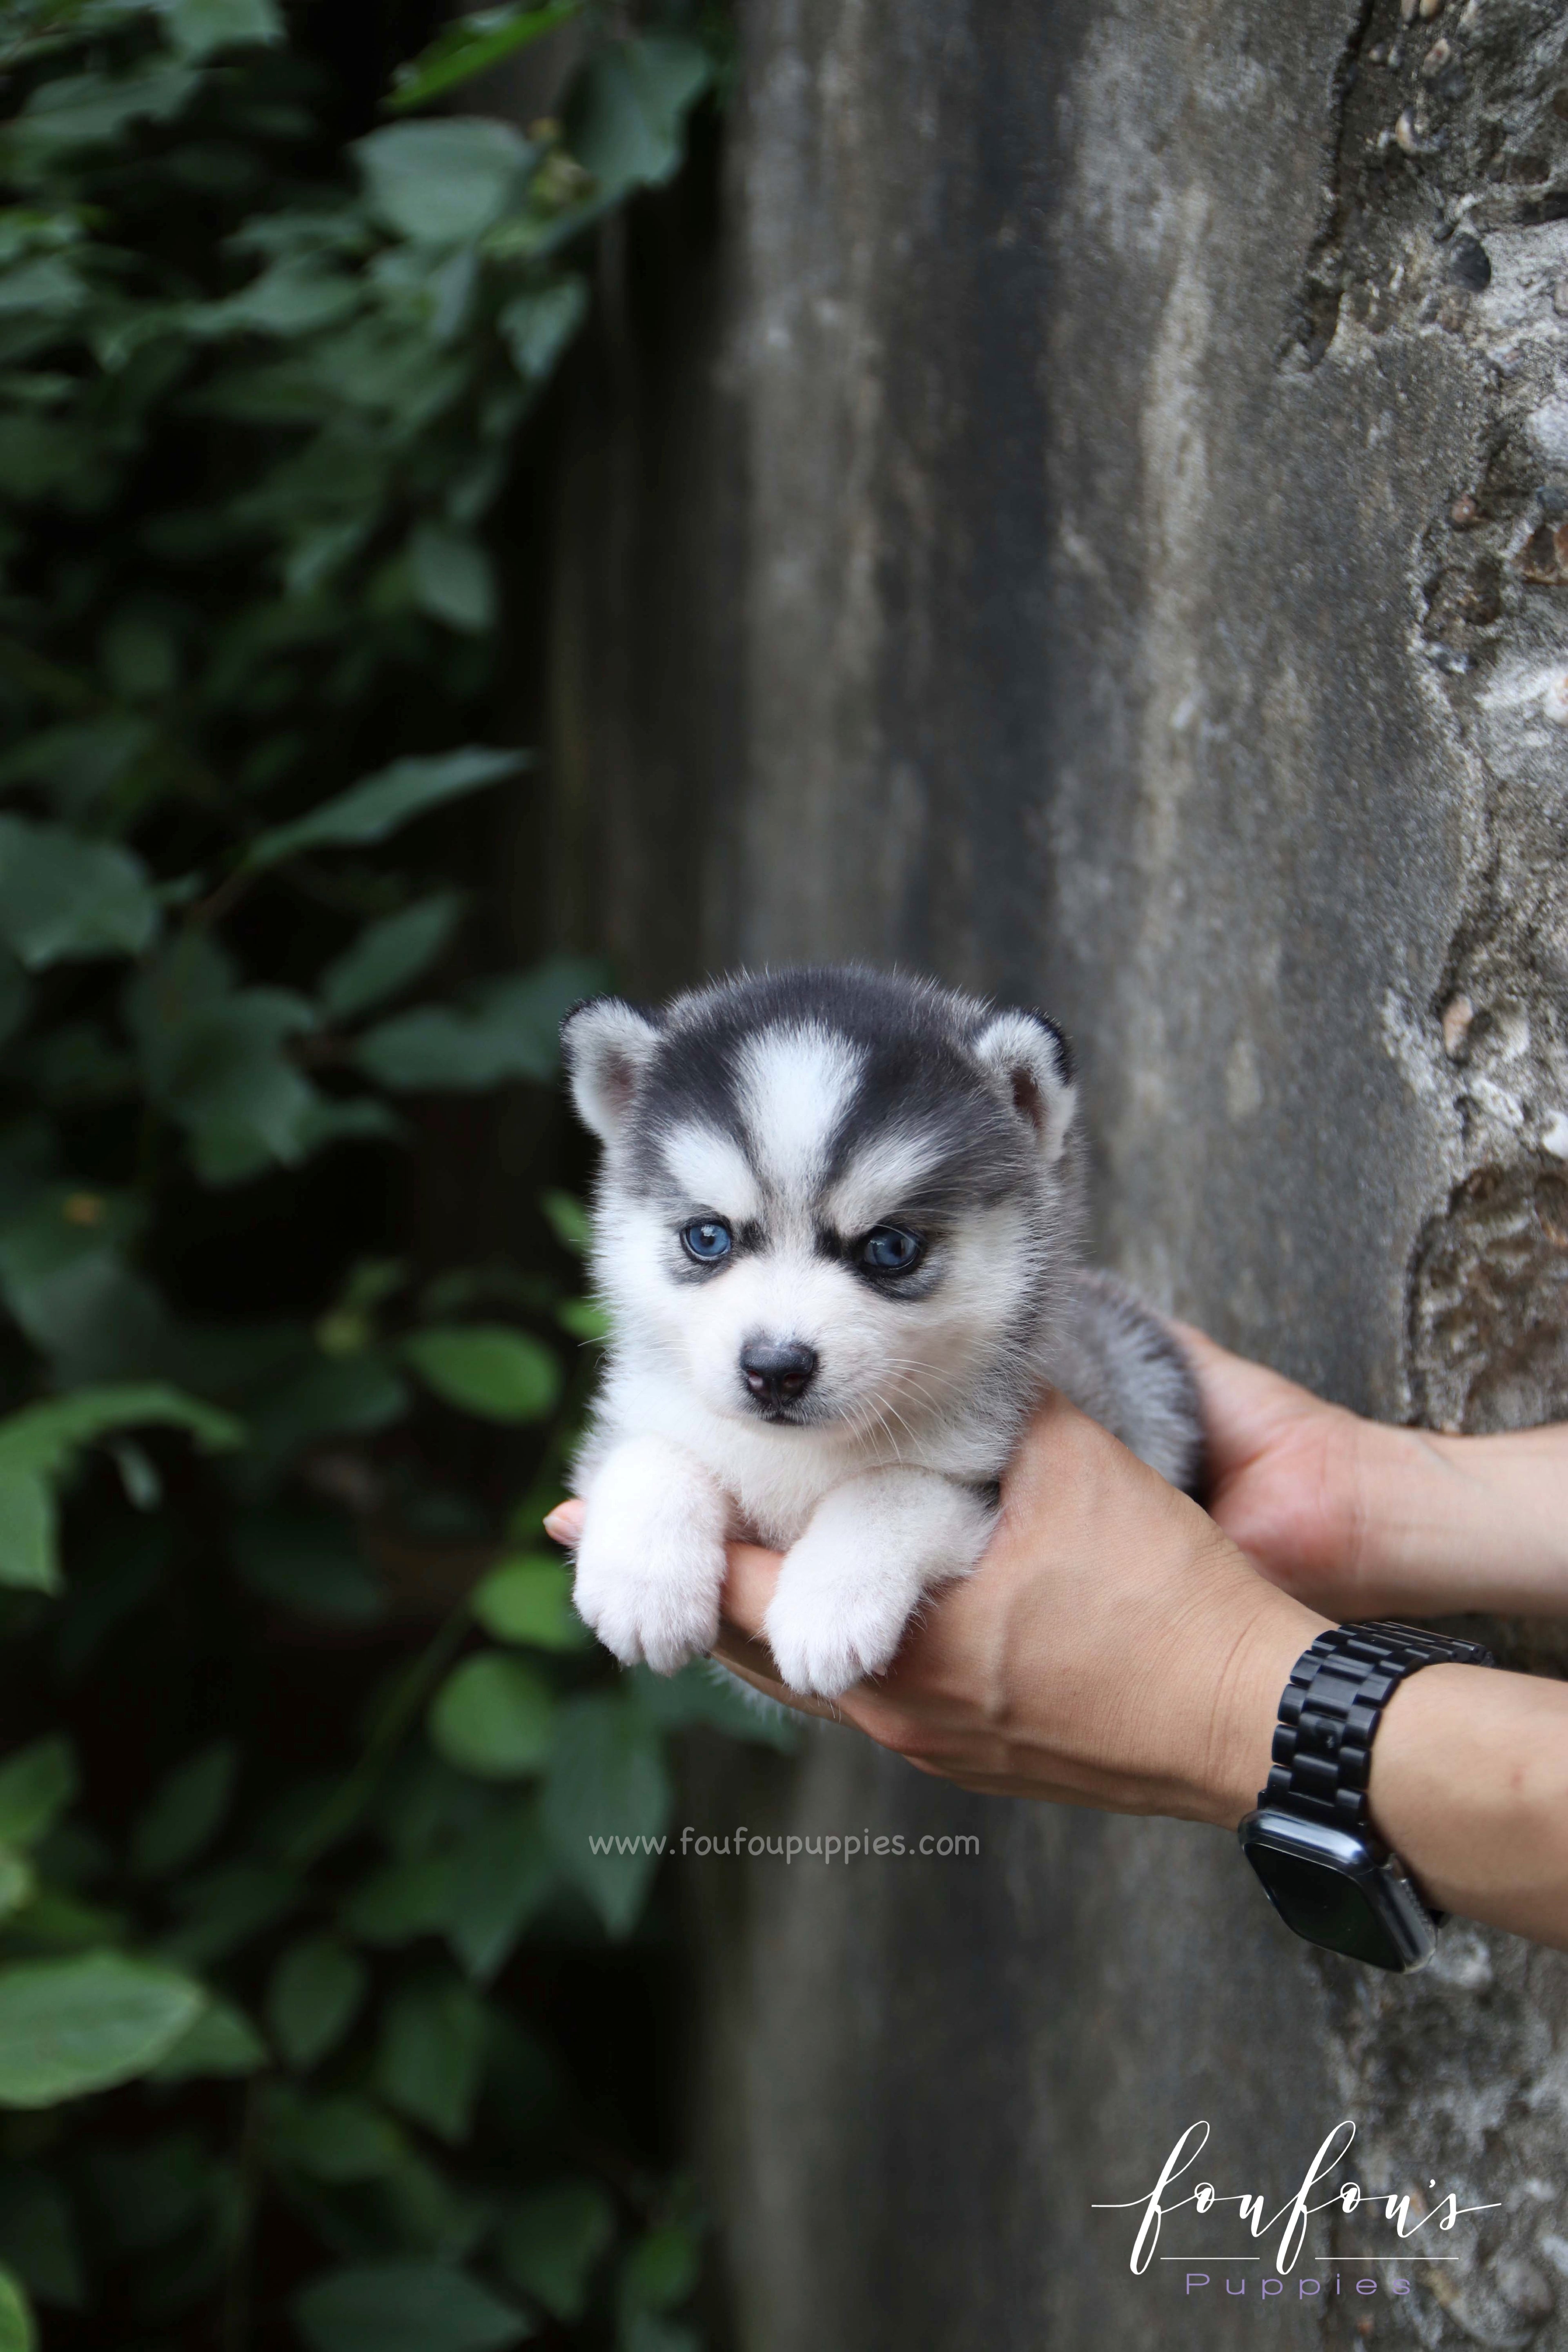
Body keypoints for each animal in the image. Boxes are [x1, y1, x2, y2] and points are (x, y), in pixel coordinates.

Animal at [561, 964, 1203, 1703]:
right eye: (708, 1237)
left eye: (891, 1248)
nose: (774, 1369)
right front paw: (644, 1582)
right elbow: (652, 1453)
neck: (798, 1457)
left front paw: (830, 1602)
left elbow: (894, 1487)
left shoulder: (982, 1474)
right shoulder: (644, 1414)